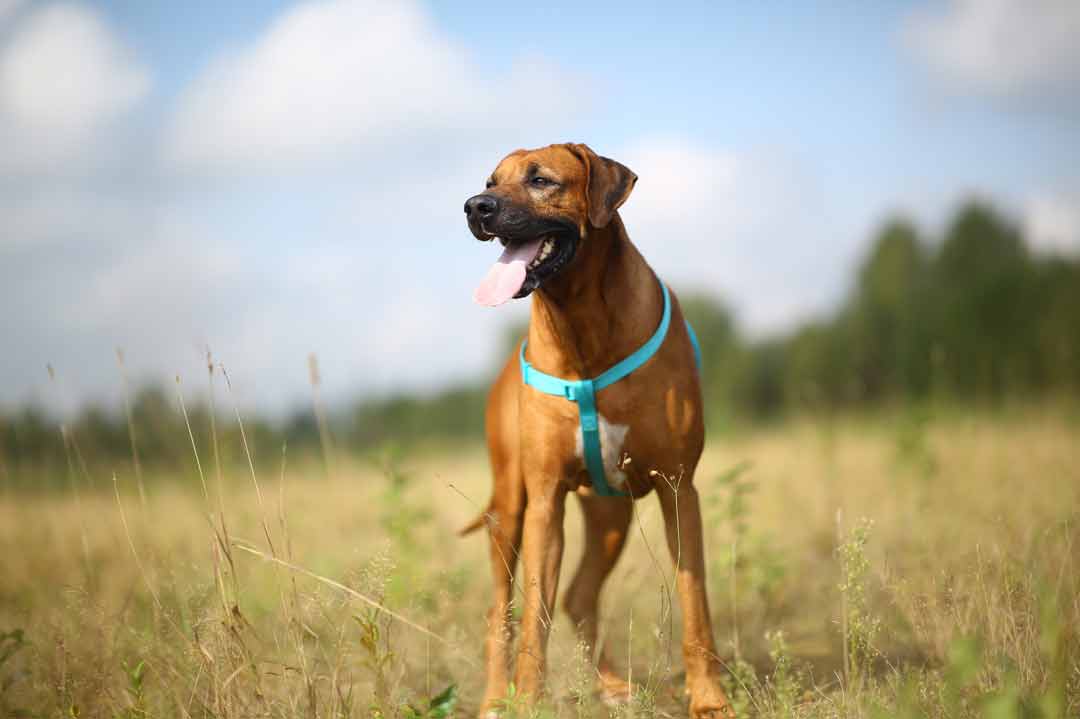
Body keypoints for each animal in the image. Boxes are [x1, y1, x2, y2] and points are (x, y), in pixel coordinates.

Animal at [460, 142, 738, 712]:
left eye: (541, 179)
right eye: (491, 181)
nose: (475, 207)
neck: (580, 328)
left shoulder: (679, 488)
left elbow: (694, 600)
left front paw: (708, 699)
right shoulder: (545, 501)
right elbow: (533, 618)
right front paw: (529, 701)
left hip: (611, 515)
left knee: (579, 595)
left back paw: (610, 685)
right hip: (510, 507)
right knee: (503, 611)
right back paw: (497, 699)